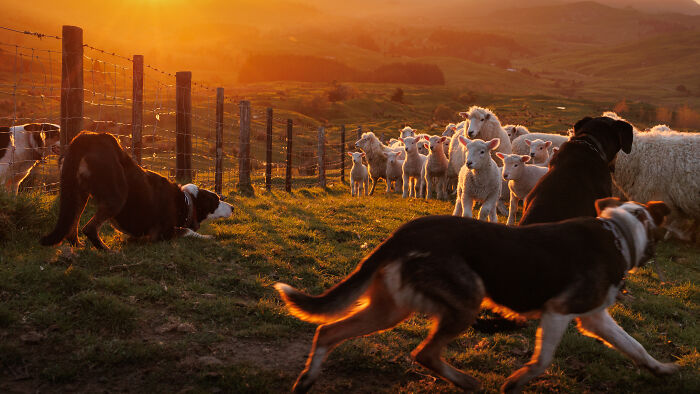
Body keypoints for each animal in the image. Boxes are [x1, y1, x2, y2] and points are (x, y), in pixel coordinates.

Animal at [40, 132, 232, 249]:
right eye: (216, 200)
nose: (233, 207)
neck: (185, 201)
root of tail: (90, 137)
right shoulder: (161, 234)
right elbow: (188, 231)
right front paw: (208, 238)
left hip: (77, 192)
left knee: (72, 225)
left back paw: (78, 245)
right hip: (116, 196)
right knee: (89, 228)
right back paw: (106, 250)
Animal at [274, 199, 680, 392]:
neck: (619, 233)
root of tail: (402, 234)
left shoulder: (594, 317)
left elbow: (635, 347)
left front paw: (662, 370)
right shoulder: (558, 312)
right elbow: (542, 361)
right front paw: (516, 382)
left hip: (389, 310)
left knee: (328, 331)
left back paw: (306, 381)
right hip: (467, 301)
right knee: (424, 353)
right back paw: (467, 382)